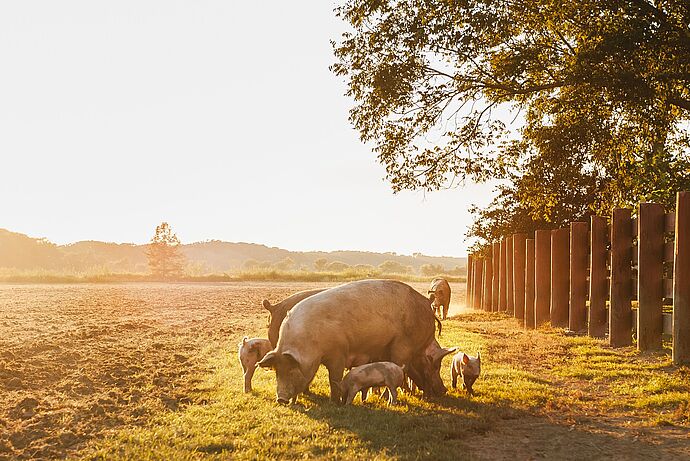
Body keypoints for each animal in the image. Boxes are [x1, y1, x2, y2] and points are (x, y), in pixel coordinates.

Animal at [256, 276, 440, 402]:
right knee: (422, 366)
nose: (280, 399)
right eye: (277, 370)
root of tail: (427, 304)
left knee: (403, 369)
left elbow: (334, 378)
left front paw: (334, 401)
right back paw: (427, 396)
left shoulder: (339, 352)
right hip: (415, 348)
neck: (312, 343)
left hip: (403, 345)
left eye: (292, 369)